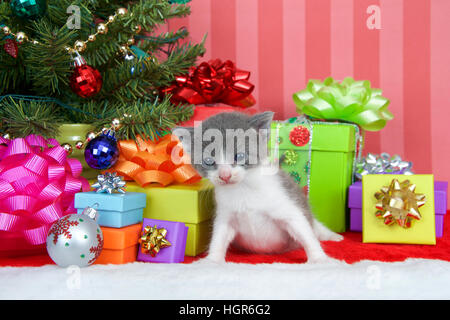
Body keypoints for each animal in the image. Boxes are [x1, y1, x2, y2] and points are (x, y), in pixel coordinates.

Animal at [174, 111, 342, 264]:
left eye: (239, 156)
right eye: (208, 161)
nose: (225, 175)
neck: (243, 189)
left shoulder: (287, 208)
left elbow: (305, 233)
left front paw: (320, 259)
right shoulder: (225, 215)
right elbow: (218, 237)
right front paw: (212, 260)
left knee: (314, 226)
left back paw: (333, 236)